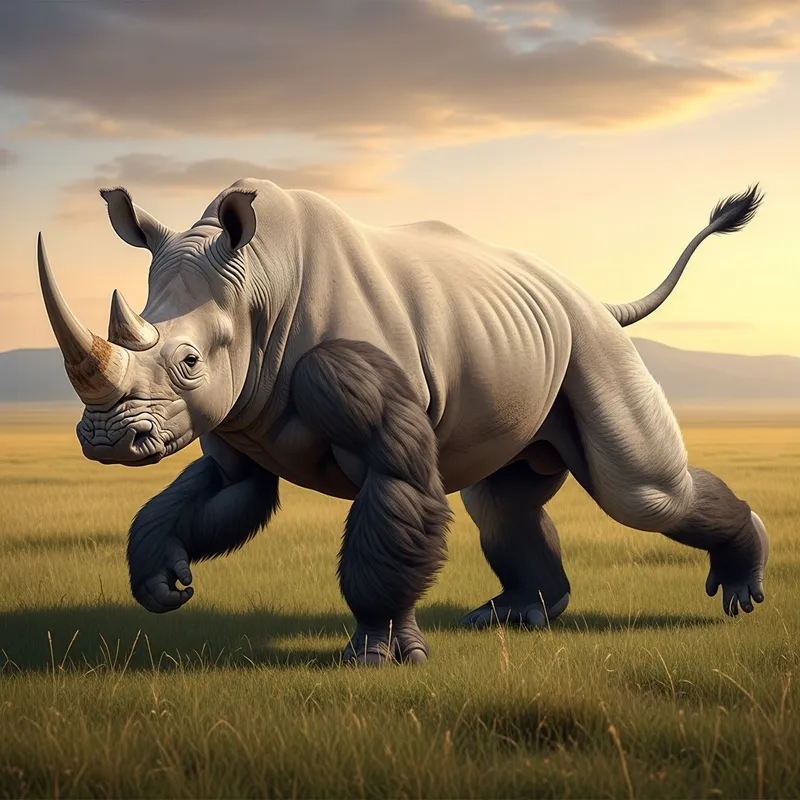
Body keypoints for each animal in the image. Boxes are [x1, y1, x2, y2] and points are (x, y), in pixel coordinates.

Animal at [37, 179, 769, 665]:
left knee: (639, 494)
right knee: (503, 501)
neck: (257, 286)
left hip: (590, 343)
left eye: (188, 361)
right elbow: (211, 495)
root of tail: (590, 298)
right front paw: (161, 583)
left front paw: (375, 656)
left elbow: (388, 515)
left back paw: (740, 590)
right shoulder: (232, 417)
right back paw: (514, 617)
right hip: (518, 340)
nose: (105, 439)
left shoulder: (358, 396)